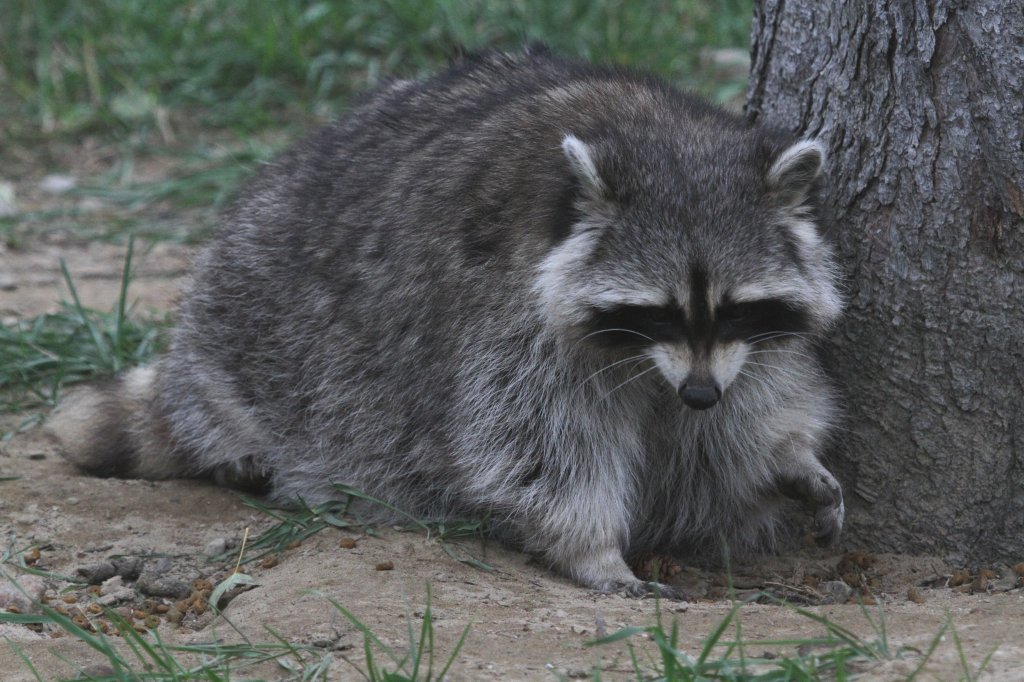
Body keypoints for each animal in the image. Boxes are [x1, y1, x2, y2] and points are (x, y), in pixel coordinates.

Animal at [51, 46, 843, 593]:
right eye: (657, 311)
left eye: (740, 307)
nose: (700, 394)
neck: (663, 133)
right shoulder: (509, 320)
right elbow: (536, 449)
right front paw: (592, 549)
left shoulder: (734, 348)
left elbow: (740, 413)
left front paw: (781, 454)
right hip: (252, 298)